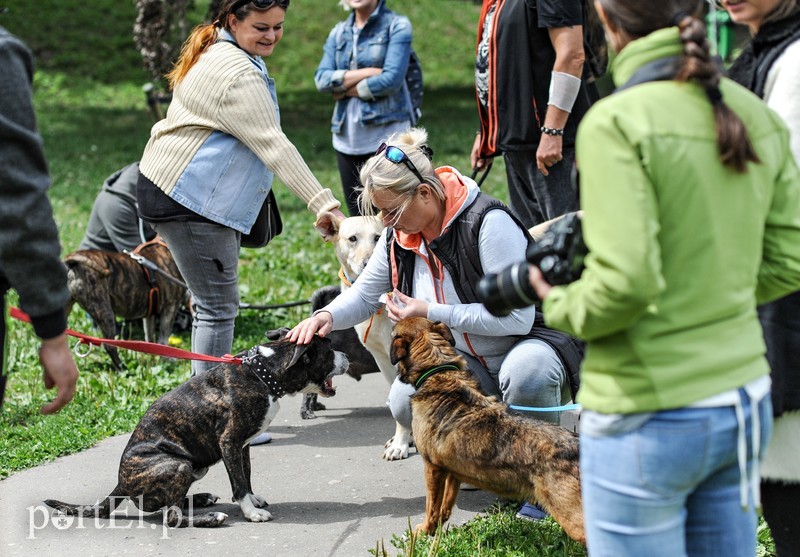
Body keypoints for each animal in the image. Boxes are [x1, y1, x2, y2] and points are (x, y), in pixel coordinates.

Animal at [45, 332, 348, 528]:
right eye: (329, 350)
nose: (346, 356)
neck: (262, 373)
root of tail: (121, 482)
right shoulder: (229, 443)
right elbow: (238, 483)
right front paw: (250, 513)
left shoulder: (242, 446)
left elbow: (246, 476)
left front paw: (253, 500)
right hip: (178, 465)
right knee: (172, 516)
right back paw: (211, 518)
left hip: (193, 467)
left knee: (173, 504)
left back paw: (202, 499)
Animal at [316, 211, 410, 458]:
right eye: (352, 239)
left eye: (377, 237)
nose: (369, 264)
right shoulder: (382, 357)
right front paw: (405, 438)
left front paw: (401, 443)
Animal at [390, 318, 584, 544]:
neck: (438, 371)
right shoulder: (452, 470)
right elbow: (445, 505)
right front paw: (438, 527)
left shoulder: (432, 468)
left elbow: (431, 506)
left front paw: (424, 531)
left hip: (573, 518)